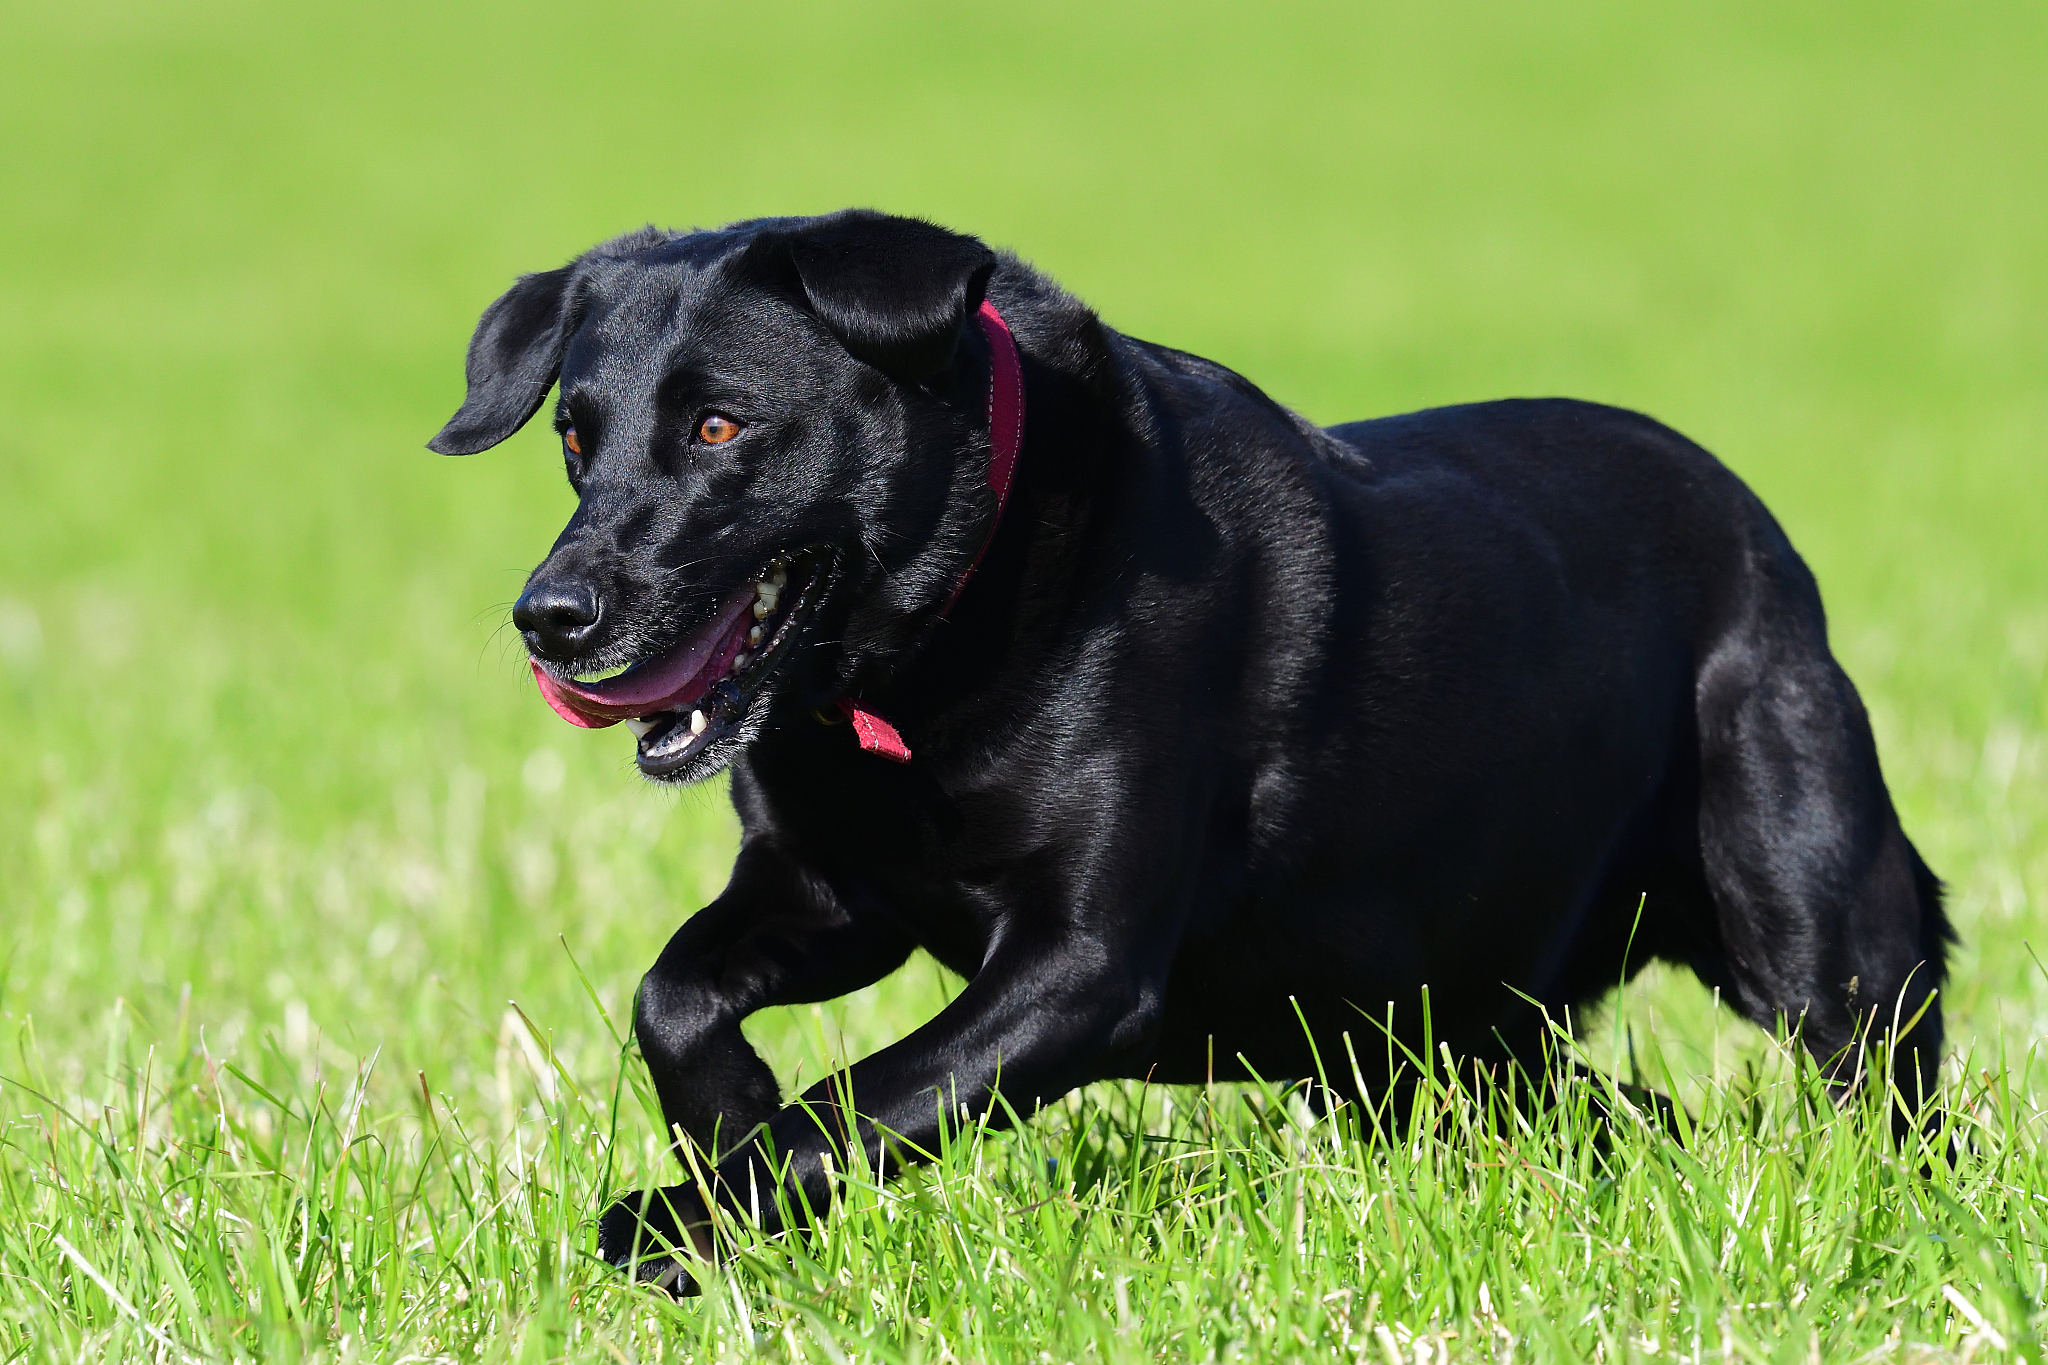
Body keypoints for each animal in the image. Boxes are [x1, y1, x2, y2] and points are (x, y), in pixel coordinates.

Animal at [432, 208, 1949, 1285]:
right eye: (576, 439)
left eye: (720, 424)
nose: (549, 616)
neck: (936, 650)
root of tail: (1752, 520)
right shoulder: (833, 893)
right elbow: (674, 993)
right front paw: (726, 1125)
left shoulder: (1082, 968)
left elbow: (862, 1104)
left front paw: (688, 1219)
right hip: (1426, 1030)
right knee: (1624, 1110)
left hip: (1807, 924)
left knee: (1887, 1079)